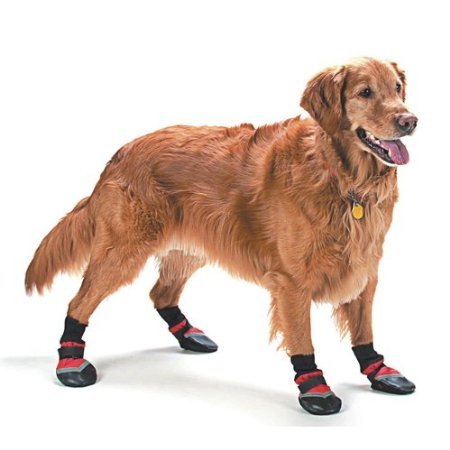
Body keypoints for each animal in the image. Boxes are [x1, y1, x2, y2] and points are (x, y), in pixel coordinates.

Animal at [25, 57, 417, 415]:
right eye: (364, 92)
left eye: (397, 88)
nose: (410, 121)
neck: (343, 179)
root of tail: (120, 154)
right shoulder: (292, 282)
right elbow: (302, 340)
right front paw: (315, 389)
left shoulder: (365, 267)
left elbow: (364, 331)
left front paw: (379, 371)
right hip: (123, 251)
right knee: (78, 303)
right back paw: (70, 363)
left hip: (190, 248)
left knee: (160, 293)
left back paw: (189, 335)